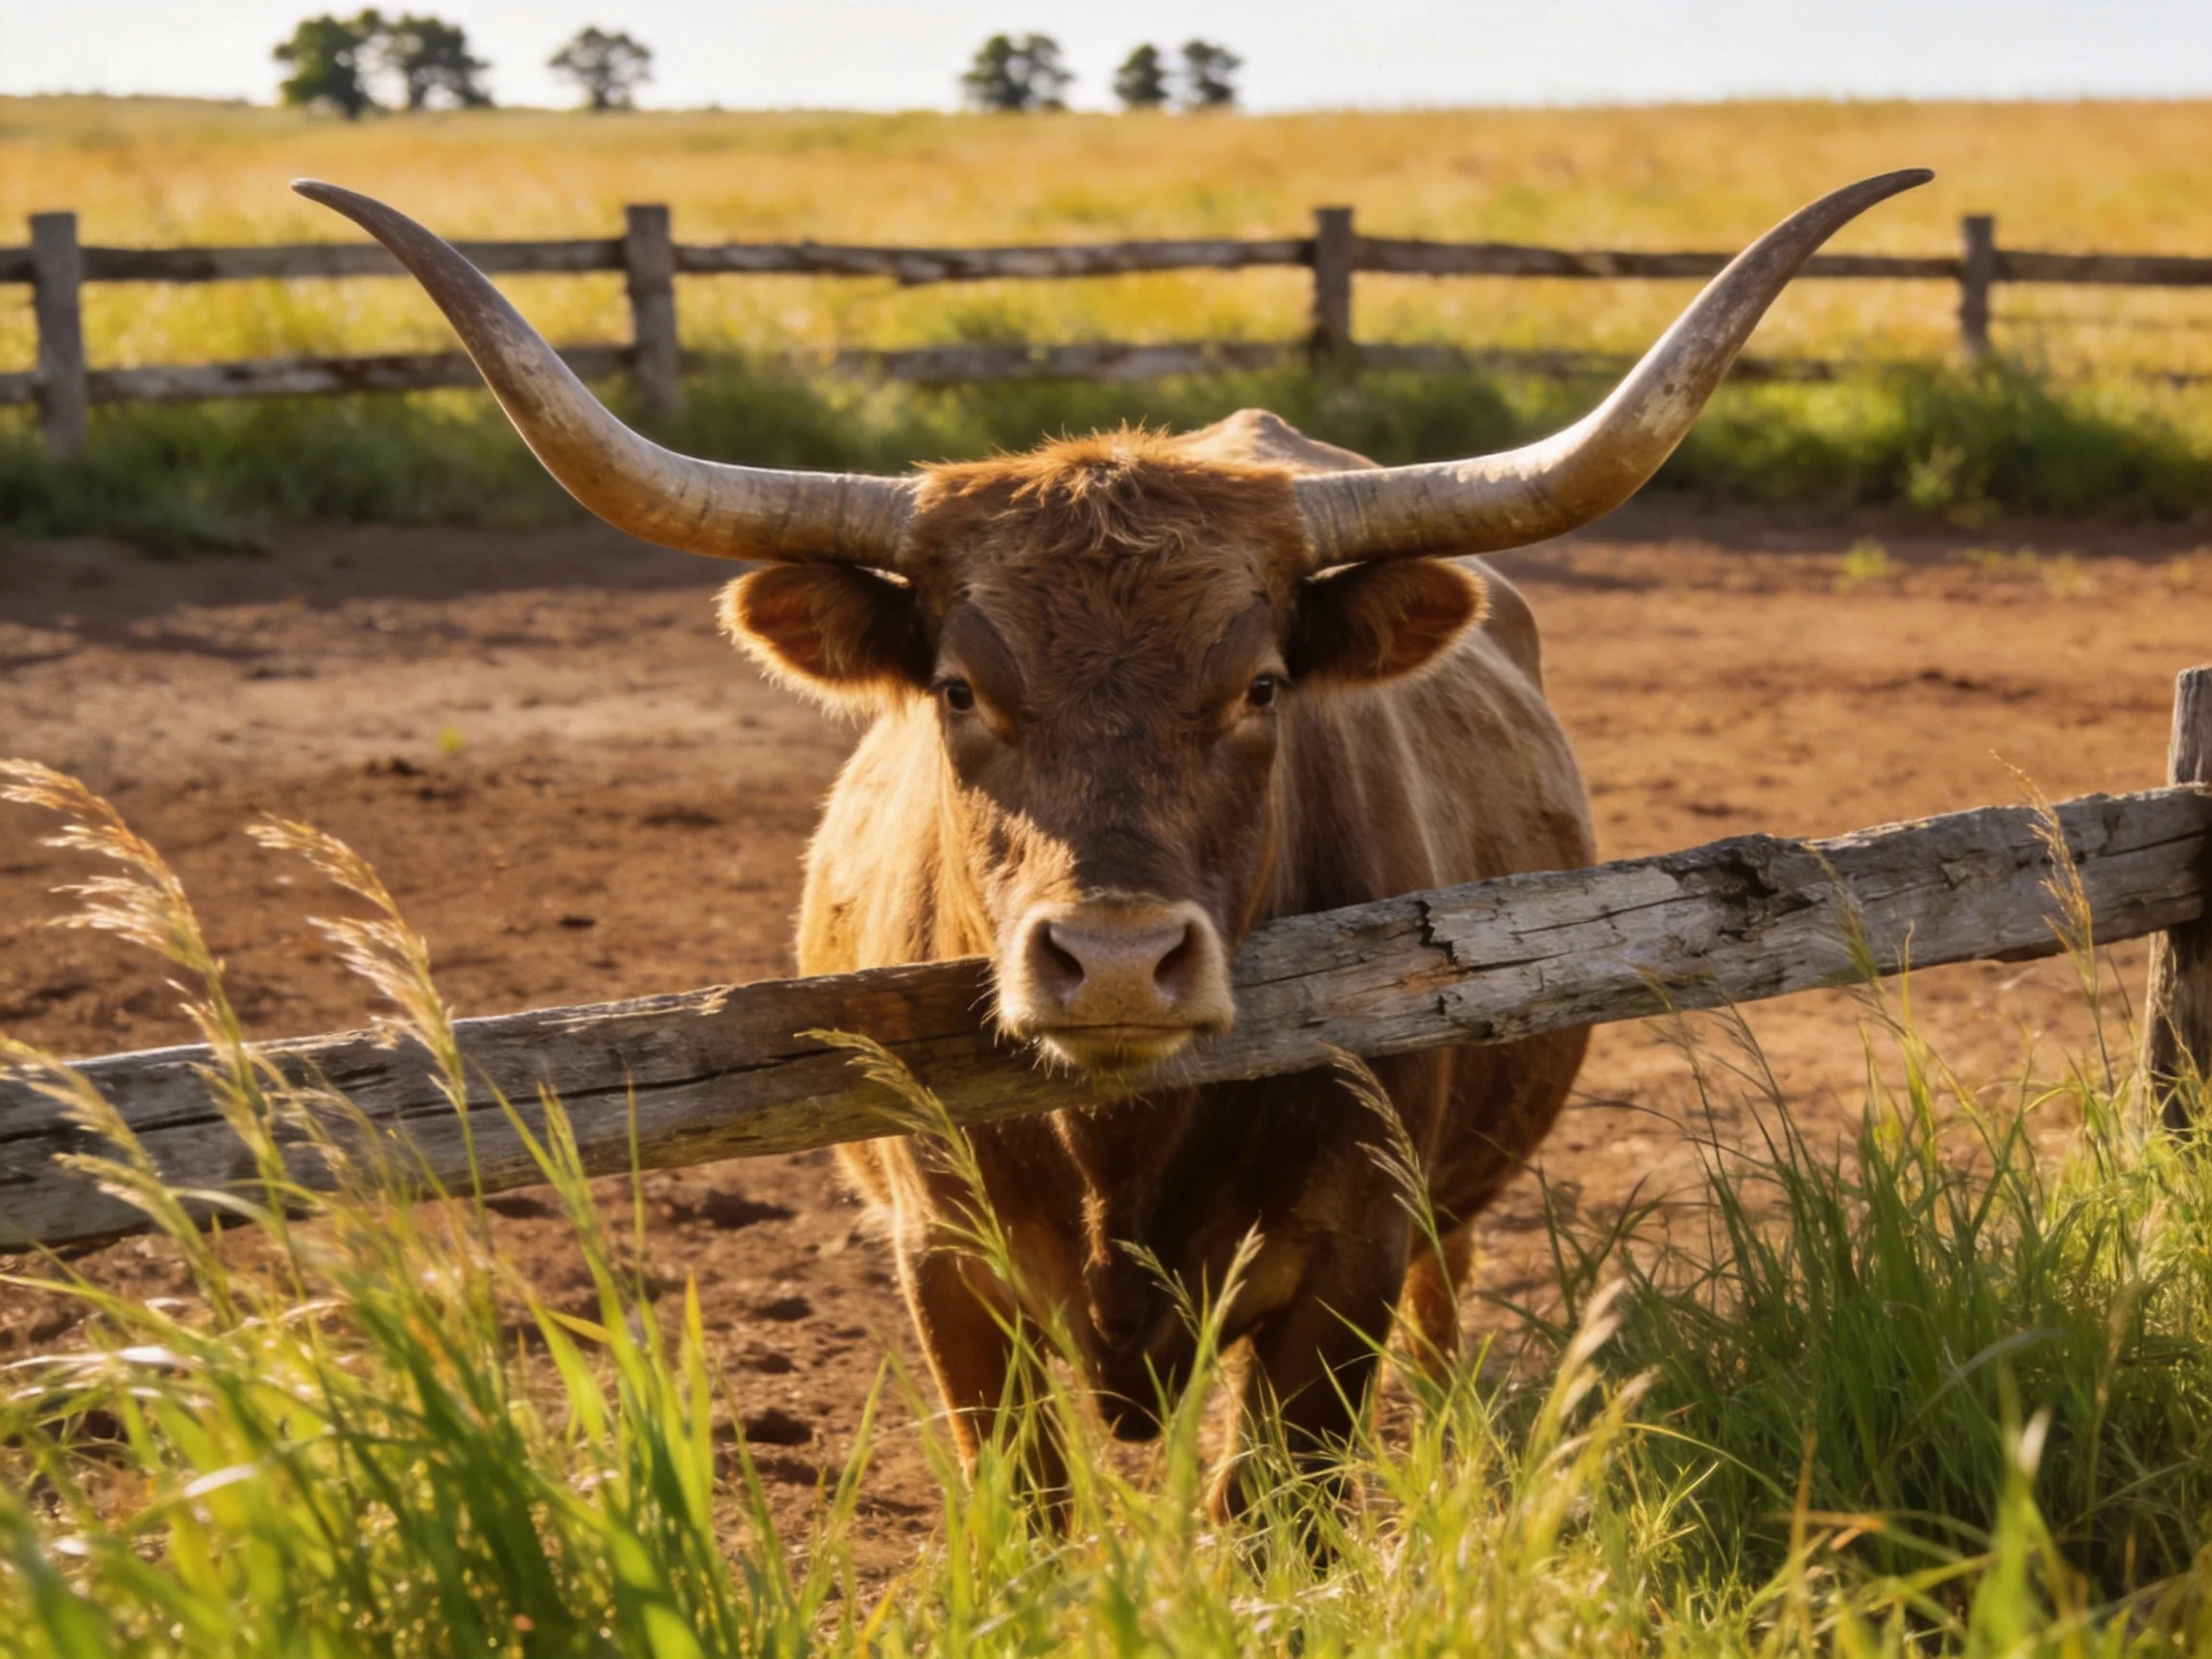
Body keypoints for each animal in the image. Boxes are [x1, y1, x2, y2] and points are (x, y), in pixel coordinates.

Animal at [300, 168, 1928, 1513]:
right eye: (959, 690)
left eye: (1260, 685)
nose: (1122, 964)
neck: (1121, 1143)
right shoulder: (944, 1268)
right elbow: (1029, 1508)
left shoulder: (1345, 1257)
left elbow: (1274, 1513)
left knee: (1447, 1304)